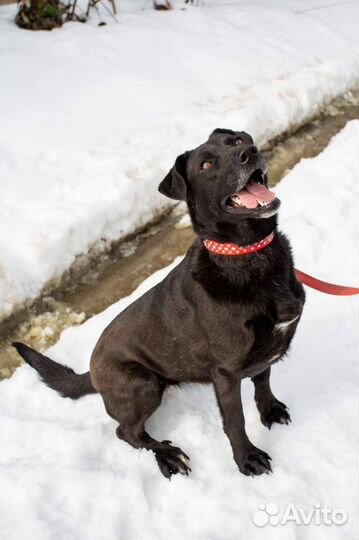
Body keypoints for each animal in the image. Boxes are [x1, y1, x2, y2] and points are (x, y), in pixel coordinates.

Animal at [15, 129, 306, 478]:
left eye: (236, 141)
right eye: (207, 165)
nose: (249, 151)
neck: (250, 256)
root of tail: (91, 370)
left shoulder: (264, 352)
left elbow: (263, 381)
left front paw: (270, 410)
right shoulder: (226, 372)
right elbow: (235, 421)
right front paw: (246, 459)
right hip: (142, 383)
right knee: (125, 432)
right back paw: (167, 455)